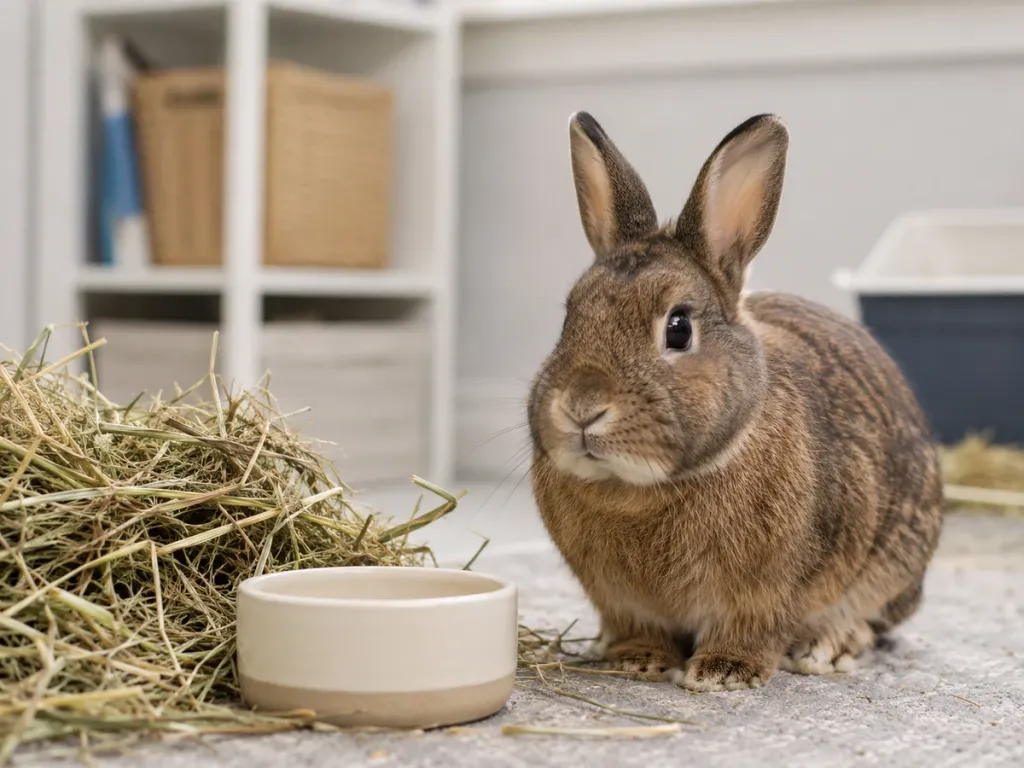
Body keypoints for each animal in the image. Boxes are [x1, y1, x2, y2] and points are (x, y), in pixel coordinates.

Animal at [526, 111, 944, 692]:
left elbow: (751, 629)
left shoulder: (764, 594)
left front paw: (723, 672)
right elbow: (637, 625)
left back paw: (826, 649)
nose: (582, 407)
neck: (641, 489)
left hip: (894, 563)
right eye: (570, 317)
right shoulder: (619, 600)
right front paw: (637, 660)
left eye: (678, 328)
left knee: (868, 618)